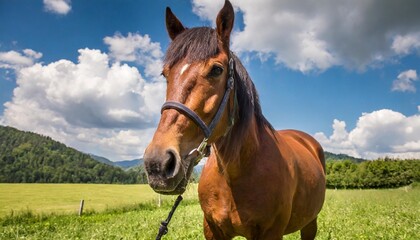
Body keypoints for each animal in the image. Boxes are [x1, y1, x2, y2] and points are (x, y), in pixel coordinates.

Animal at [143, 0, 326, 239]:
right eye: (165, 74)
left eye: (216, 70)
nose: (157, 163)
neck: (235, 173)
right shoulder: (213, 230)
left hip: (310, 223)